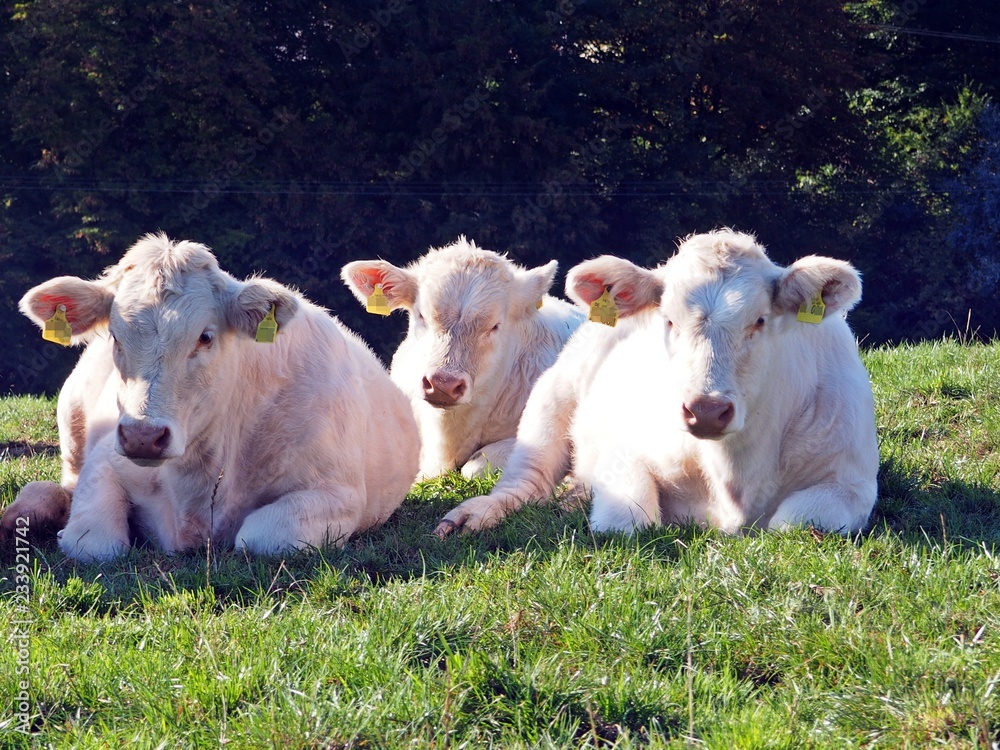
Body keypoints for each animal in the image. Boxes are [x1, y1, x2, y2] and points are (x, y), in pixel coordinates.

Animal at [1, 233, 419, 562]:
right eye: (116, 336)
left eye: (205, 336)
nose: (142, 437)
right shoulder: (105, 459)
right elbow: (95, 544)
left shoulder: (338, 494)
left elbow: (258, 536)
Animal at [435, 229, 878, 537]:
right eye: (668, 320)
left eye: (760, 321)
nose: (706, 411)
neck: (734, 472)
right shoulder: (622, 453)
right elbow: (628, 521)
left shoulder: (853, 483)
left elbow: (796, 521)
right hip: (550, 398)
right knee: (526, 482)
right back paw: (476, 514)